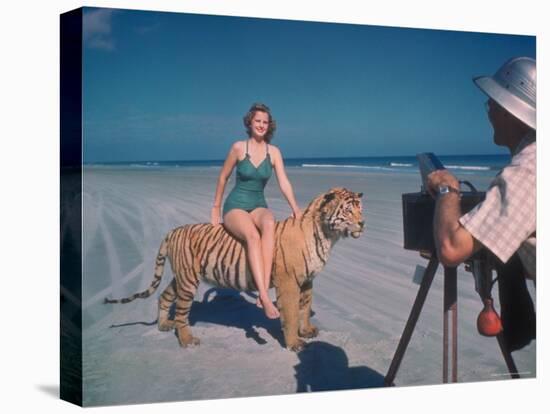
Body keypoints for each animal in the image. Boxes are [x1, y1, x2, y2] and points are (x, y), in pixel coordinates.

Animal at [106, 188, 366, 352]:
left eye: (360, 208)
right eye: (348, 210)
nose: (363, 223)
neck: (327, 235)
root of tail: (173, 230)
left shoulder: (307, 281)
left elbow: (304, 308)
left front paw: (307, 330)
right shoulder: (289, 282)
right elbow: (292, 314)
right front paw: (294, 343)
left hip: (180, 277)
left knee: (164, 296)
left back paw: (163, 325)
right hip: (188, 281)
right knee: (181, 312)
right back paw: (187, 340)